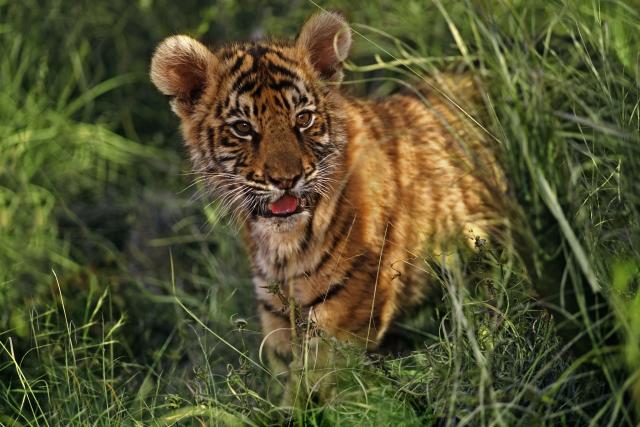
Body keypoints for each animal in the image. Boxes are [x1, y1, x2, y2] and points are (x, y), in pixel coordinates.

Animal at [150, 11, 505, 367]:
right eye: (243, 128)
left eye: (303, 119)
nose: (286, 180)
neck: (281, 250)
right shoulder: (277, 317)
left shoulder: (341, 319)